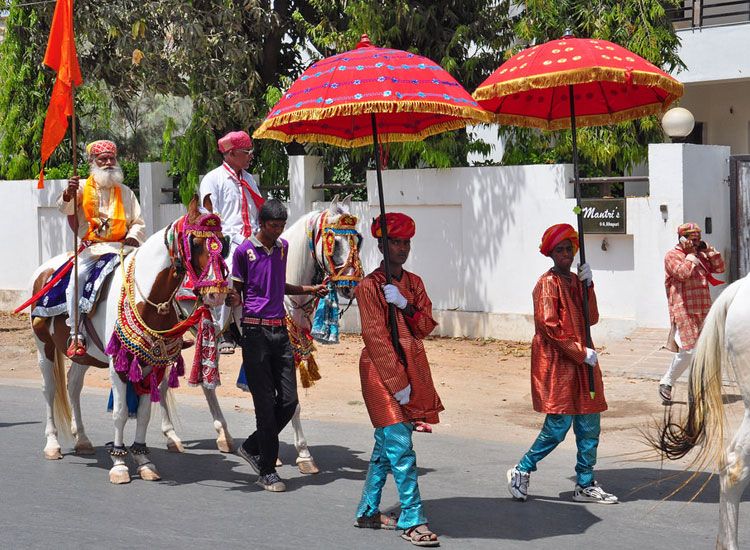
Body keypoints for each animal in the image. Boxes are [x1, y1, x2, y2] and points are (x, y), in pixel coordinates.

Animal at [29, 197, 229, 484]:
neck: (148, 299)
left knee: (74, 386)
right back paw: (53, 444)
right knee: (50, 389)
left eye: (223, 242)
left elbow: (144, 413)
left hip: (84, 355)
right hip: (43, 345)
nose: (217, 295)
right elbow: (121, 412)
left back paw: (83, 440)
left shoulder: (152, 364)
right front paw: (119, 463)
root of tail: (45, 270)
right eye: (196, 243)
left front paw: (144, 460)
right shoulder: (118, 364)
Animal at [159, 195, 363, 474]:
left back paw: (224, 436)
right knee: (161, 381)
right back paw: (171, 436)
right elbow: (285, 402)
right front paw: (300, 455)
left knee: (204, 385)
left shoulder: (289, 351)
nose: (349, 287)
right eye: (334, 240)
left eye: (358, 239)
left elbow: (287, 399)